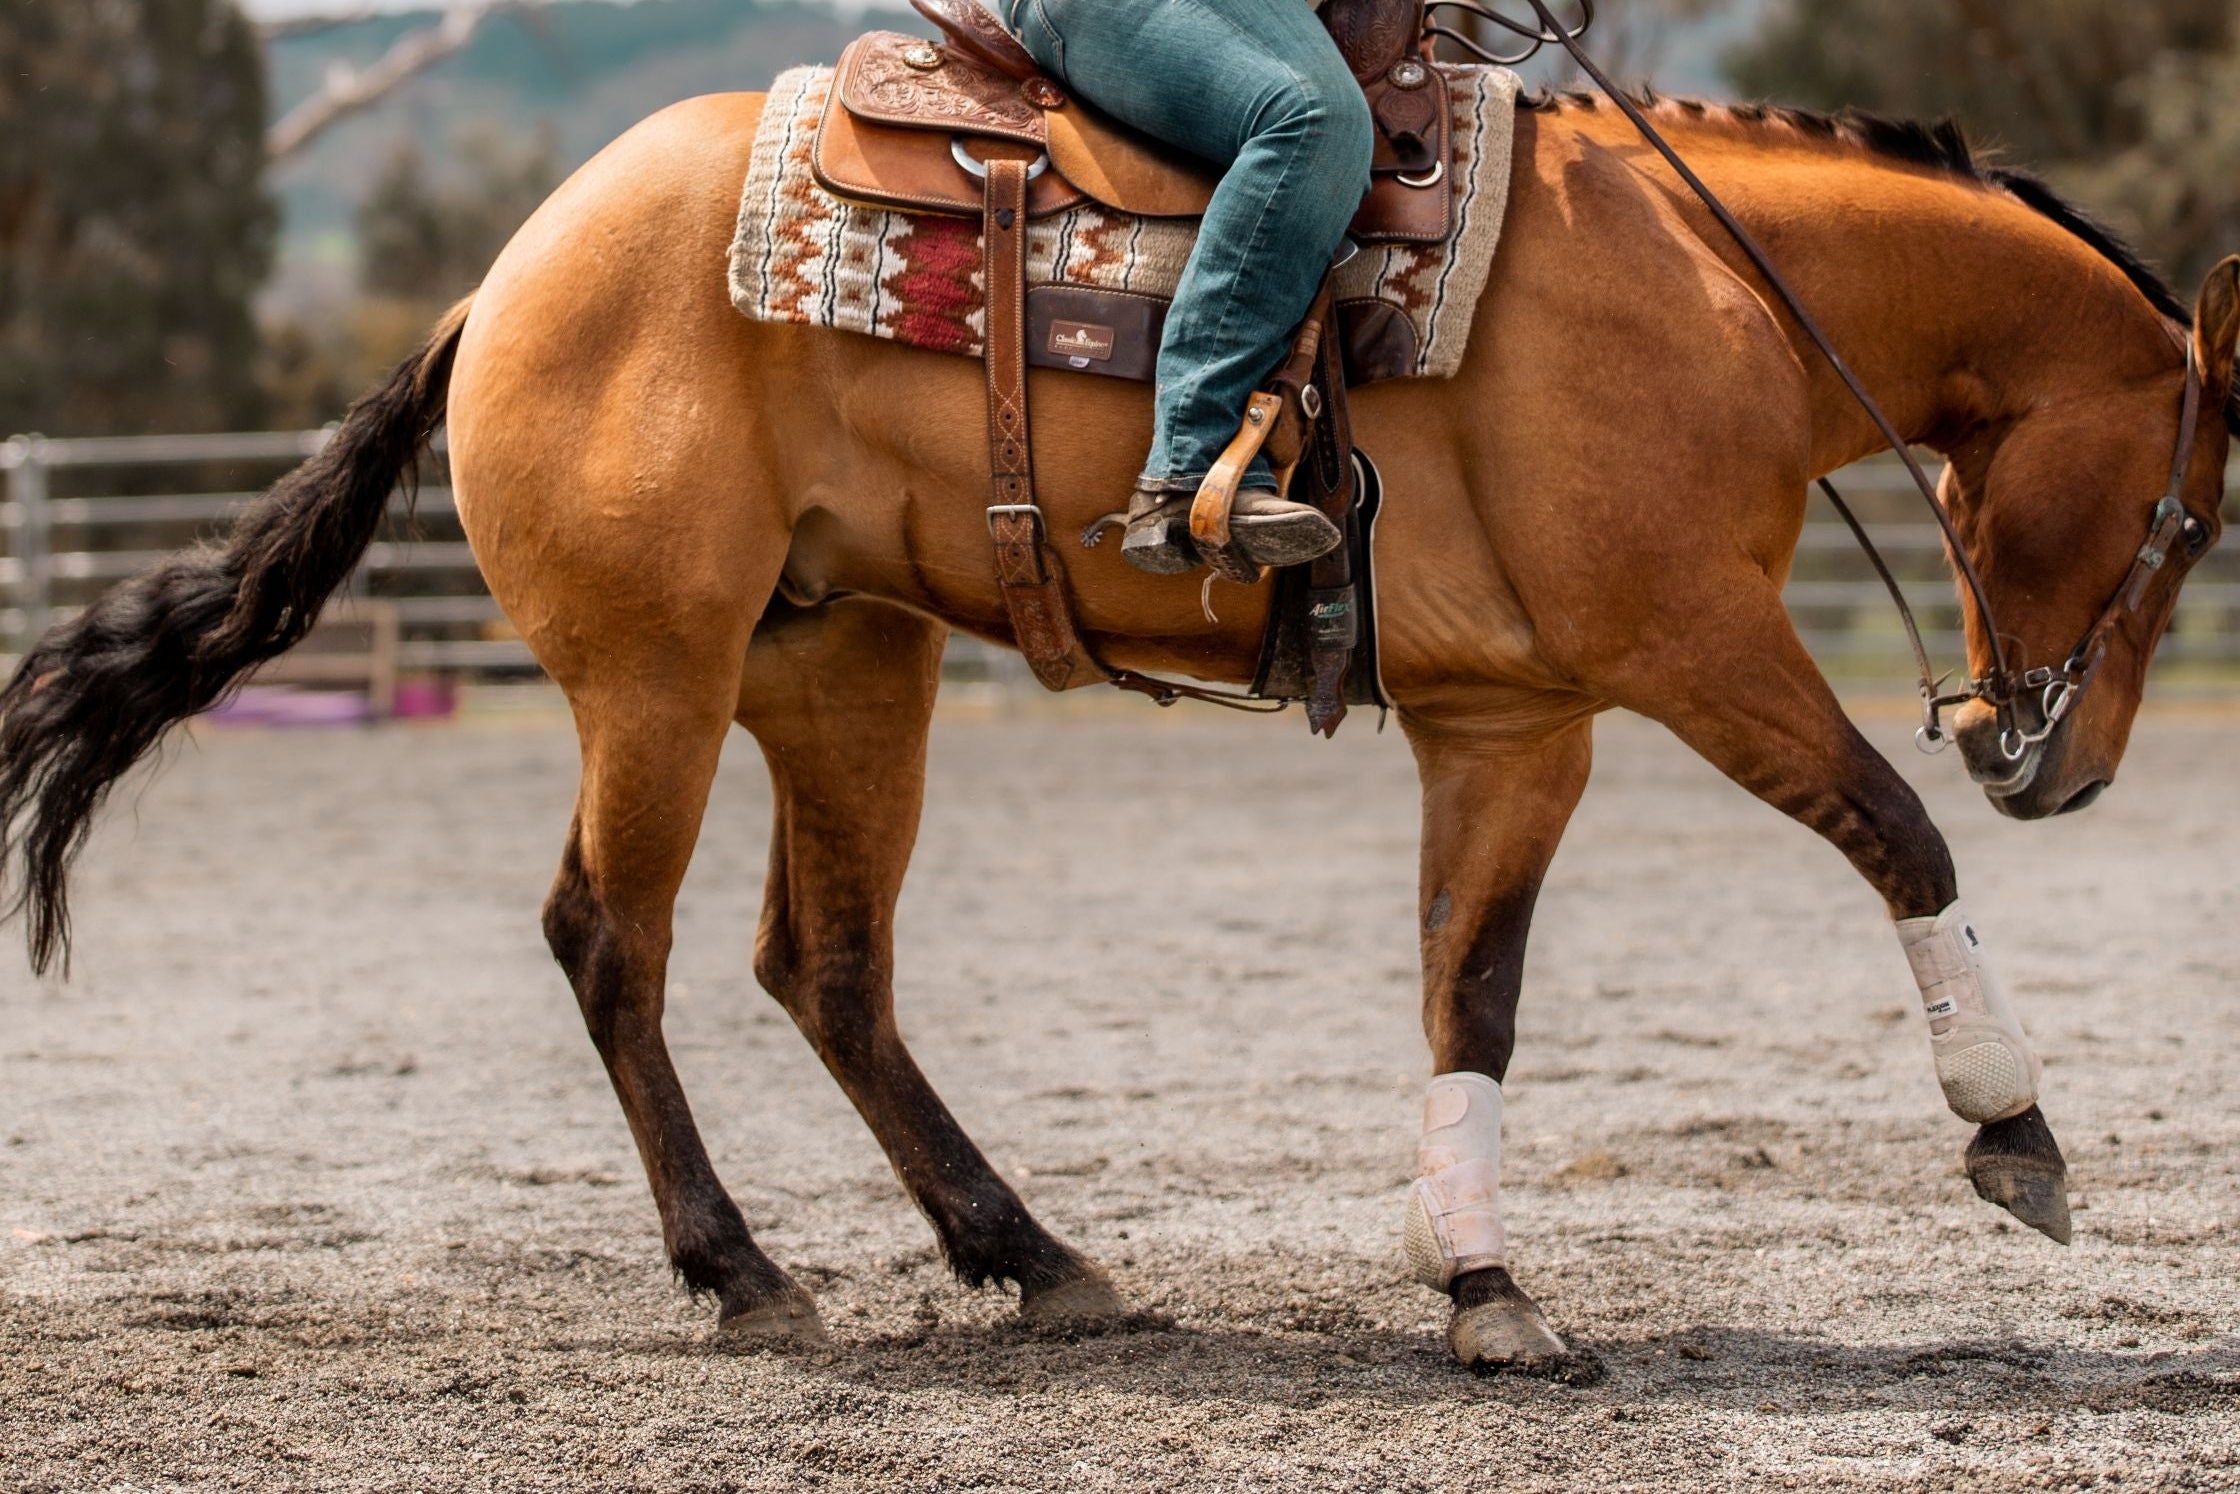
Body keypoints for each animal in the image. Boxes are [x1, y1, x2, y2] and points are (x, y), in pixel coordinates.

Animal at [0, 83, 2232, 1371]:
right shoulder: (1691, 644)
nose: (2065, 760)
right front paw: (2016, 1134)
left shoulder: (1518, 722)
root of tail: (507, 270)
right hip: (657, 676)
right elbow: (1892, 833)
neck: (1710, 290)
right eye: (2196, 512)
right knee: (610, 944)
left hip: (846, 667)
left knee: (824, 963)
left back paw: (1027, 1249)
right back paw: (741, 1273)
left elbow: (1473, 992)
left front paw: (1484, 1287)